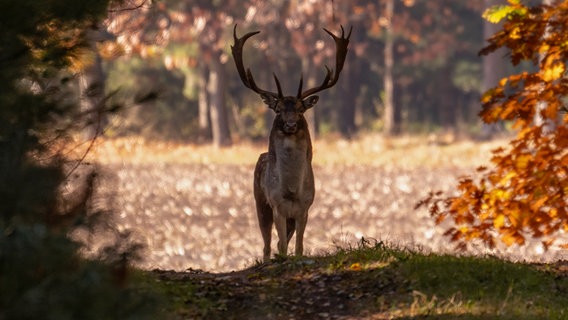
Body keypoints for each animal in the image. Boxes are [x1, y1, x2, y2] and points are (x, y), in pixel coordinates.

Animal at [231, 24, 350, 260]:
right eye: (278, 110)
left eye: (300, 109)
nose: (290, 124)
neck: (292, 190)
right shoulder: (277, 206)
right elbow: (283, 246)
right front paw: (283, 259)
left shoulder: (305, 208)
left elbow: (298, 247)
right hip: (260, 202)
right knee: (267, 244)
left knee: (277, 242)